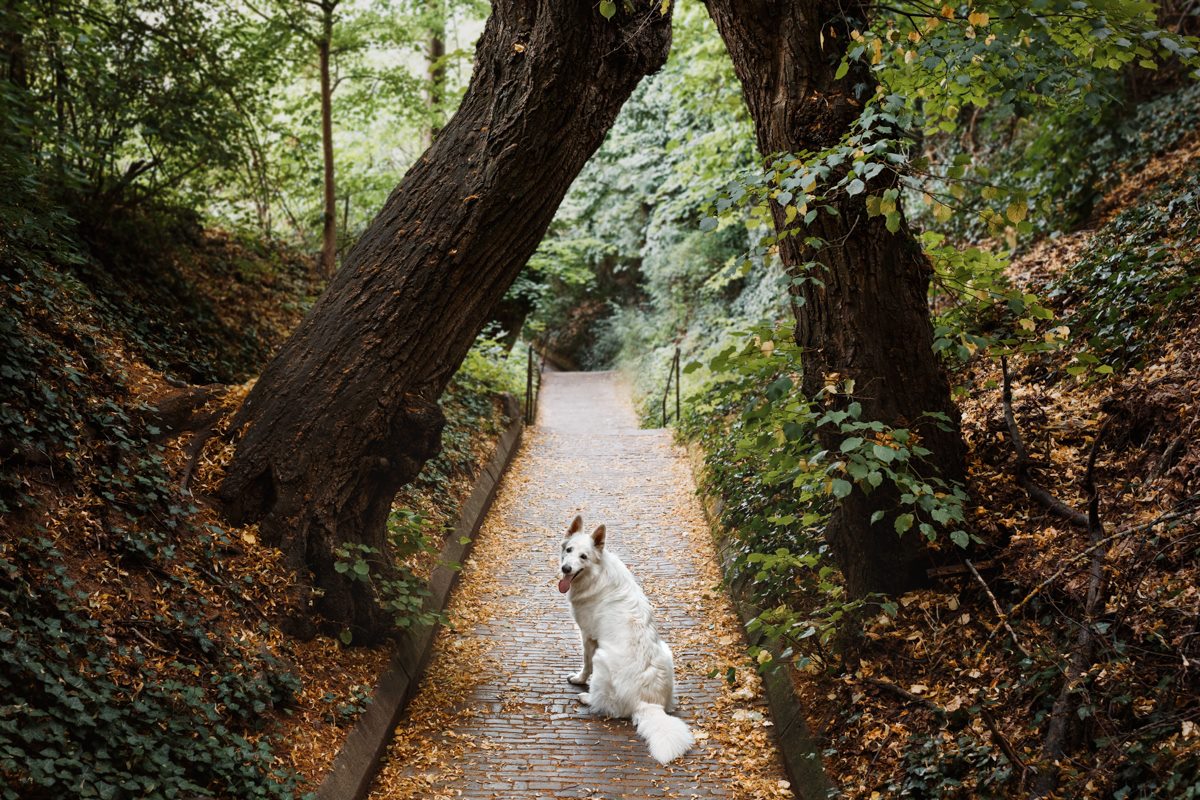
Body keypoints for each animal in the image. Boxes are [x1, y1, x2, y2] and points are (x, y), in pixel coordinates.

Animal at [554, 515, 696, 767]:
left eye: (583, 557)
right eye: (569, 550)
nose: (565, 568)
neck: (597, 574)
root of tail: (649, 704)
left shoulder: (588, 636)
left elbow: (585, 664)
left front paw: (579, 680)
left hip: (602, 658)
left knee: (607, 707)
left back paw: (586, 697)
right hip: (666, 652)